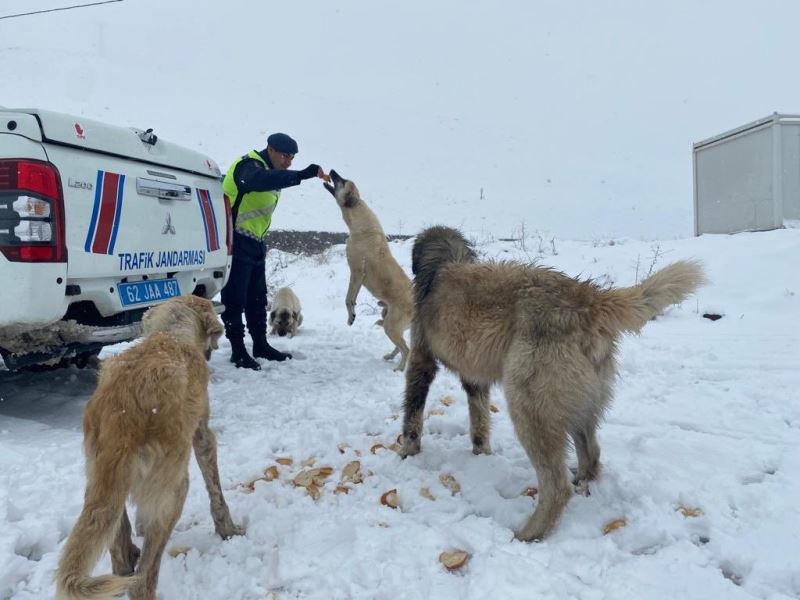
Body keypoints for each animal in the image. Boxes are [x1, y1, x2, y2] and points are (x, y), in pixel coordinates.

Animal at [56, 296, 244, 600]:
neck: (169, 334)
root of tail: (122, 414)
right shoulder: (203, 436)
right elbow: (216, 492)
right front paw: (228, 530)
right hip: (175, 489)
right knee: (143, 580)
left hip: (102, 480)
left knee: (120, 556)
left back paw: (127, 557)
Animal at [324, 169, 412, 372]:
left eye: (343, 181)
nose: (331, 171)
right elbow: (352, 298)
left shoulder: (356, 272)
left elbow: (348, 298)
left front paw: (351, 317)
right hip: (388, 319)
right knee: (400, 345)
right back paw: (390, 356)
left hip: (391, 325)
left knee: (407, 348)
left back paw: (400, 368)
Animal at [400, 226, 708, 544]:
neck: (444, 263)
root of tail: (589, 299)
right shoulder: (475, 378)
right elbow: (480, 422)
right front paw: (480, 454)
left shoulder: (421, 358)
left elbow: (413, 413)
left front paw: (407, 453)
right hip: (579, 406)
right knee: (591, 455)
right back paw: (582, 483)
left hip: (529, 406)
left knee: (557, 486)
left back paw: (529, 532)